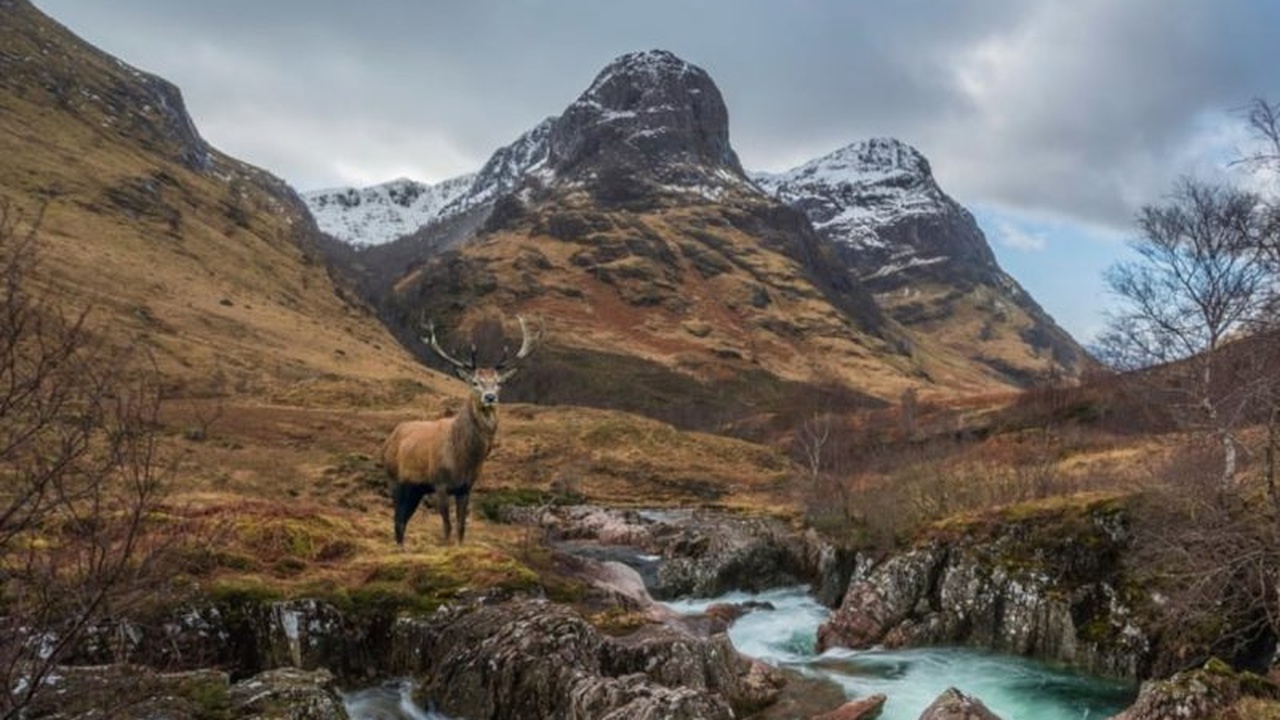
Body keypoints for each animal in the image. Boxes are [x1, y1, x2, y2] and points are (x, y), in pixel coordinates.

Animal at [382, 315, 539, 548]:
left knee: (403, 519)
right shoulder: (440, 483)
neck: (464, 458)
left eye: (498, 383)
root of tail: (387, 441)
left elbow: (461, 528)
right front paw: (447, 547)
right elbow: (447, 527)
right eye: (475, 382)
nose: (490, 397)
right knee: (397, 519)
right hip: (395, 480)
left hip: (415, 489)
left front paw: (459, 545)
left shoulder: (466, 487)